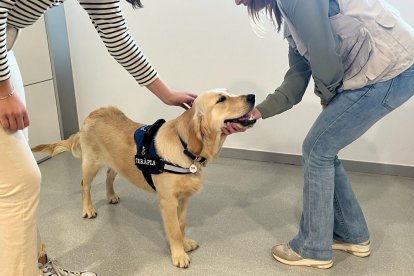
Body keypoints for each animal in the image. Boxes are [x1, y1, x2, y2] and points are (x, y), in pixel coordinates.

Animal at [31, 90, 256, 268]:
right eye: (222, 99)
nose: (252, 96)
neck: (184, 146)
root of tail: (93, 114)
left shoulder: (183, 199)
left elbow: (181, 224)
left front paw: (185, 243)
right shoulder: (168, 201)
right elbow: (174, 230)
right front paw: (178, 255)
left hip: (117, 164)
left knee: (109, 177)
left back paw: (111, 196)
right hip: (91, 164)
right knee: (84, 185)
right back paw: (88, 209)